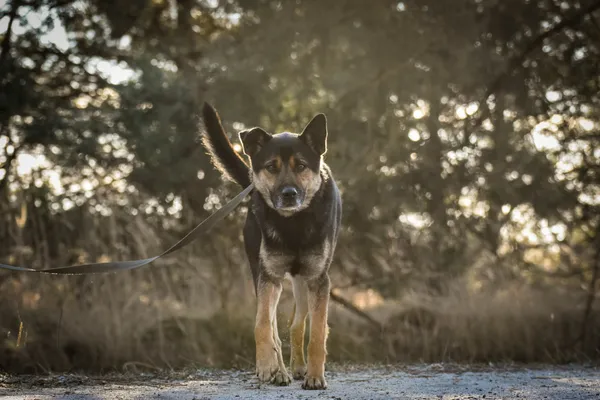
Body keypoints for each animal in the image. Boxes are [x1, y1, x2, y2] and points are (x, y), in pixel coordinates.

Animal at [202, 101, 342, 390]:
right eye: (271, 167)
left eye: (301, 166)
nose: (289, 194)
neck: (293, 223)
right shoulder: (268, 277)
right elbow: (263, 324)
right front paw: (267, 365)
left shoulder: (318, 281)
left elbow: (318, 332)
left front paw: (315, 375)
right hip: (262, 273)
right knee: (276, 326)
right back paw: (279, 370)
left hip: (302, 283)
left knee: (297, 324)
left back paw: (299, 368)